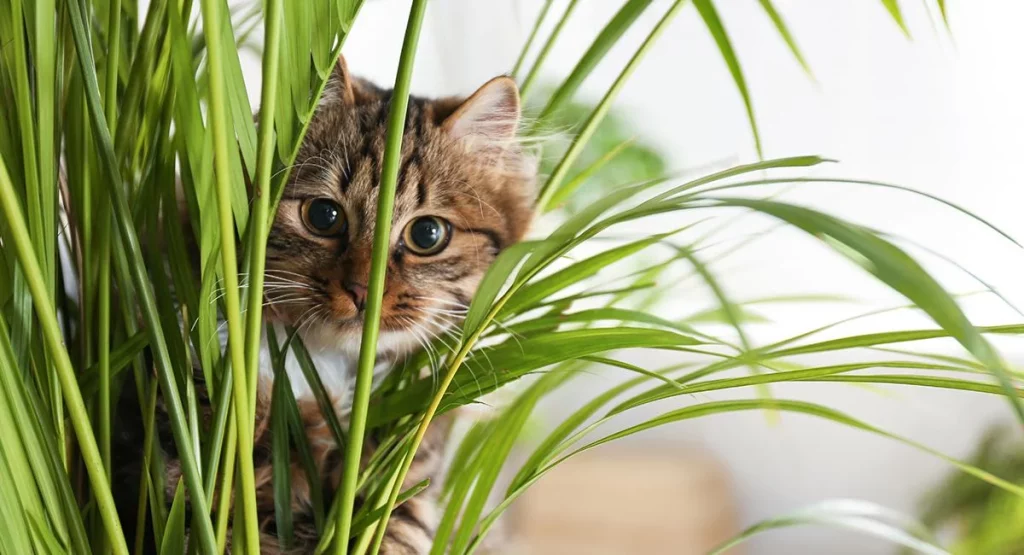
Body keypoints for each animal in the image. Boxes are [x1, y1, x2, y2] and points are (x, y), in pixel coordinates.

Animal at [114, 57, 536, 555]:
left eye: (428, 234)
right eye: (323, 215)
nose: (362, 292)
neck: (320, 368)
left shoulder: (402, 478)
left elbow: (399, 529)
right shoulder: (184, 472)